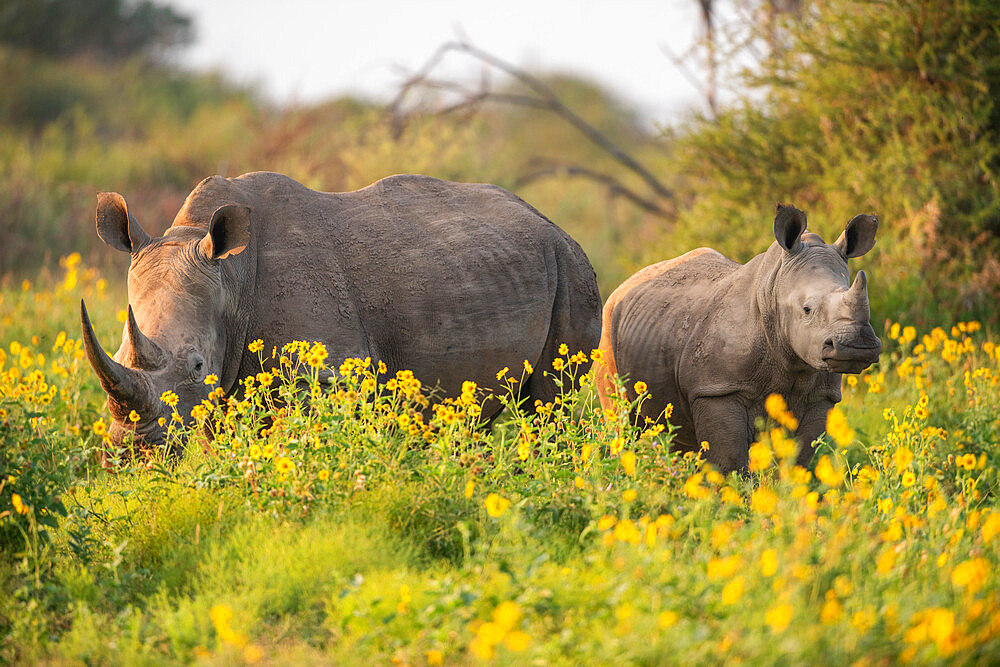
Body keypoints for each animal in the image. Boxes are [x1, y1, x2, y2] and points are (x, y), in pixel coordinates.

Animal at [82, 172, 600, 452]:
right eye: (119, 352)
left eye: (196, 365)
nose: (132, 449)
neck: (231, 279)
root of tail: (554, 225)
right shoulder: (223, 388)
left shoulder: (323, 372)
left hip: (570, 268)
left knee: (549, 404)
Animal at [596, 206, 880, 472]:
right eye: (807, 309)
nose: (856, 346)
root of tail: (624, 285)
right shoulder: (717, 389)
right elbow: (729, 463)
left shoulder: (821, 396)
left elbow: (795, 461)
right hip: (607, 329)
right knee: (621, 420)